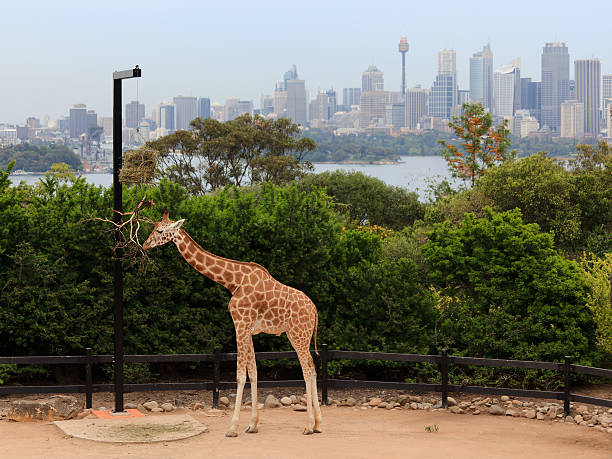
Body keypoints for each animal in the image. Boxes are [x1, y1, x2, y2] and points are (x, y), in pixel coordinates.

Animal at [143, 214, 322, 436]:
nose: (145, 244)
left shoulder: (240, 324)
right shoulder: (249, 329)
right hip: (301, 335)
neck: (232, 282)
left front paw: (232, 427)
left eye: (160, 231)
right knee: (312, 368)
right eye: (154, 227)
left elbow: (240, 376)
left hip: (298, 334)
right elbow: (253, 373)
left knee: (307, 370)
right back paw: (317, 423)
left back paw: (308, 426)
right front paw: (252, 424)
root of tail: (315, 310)